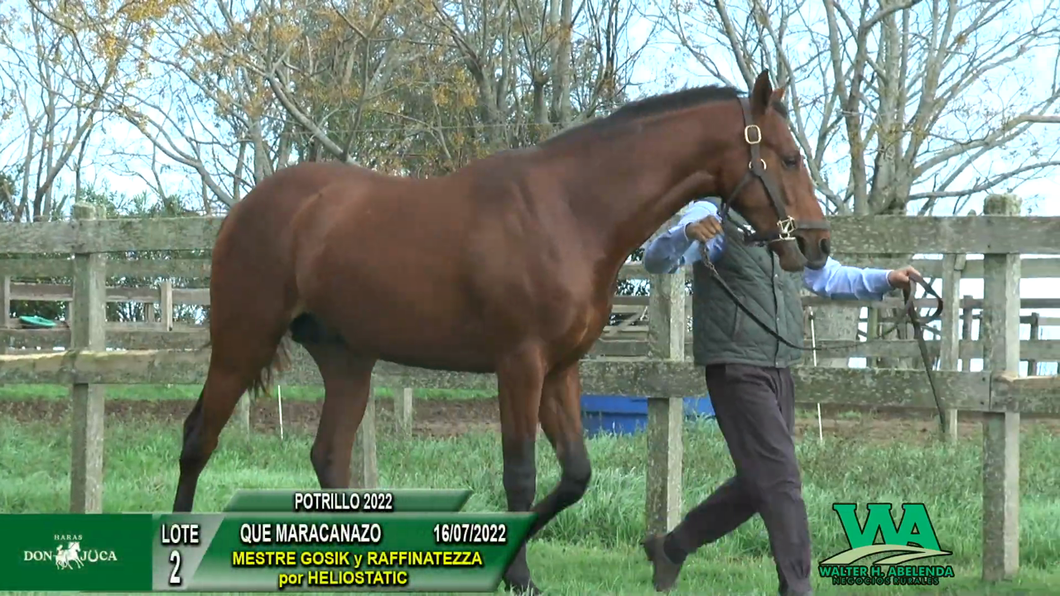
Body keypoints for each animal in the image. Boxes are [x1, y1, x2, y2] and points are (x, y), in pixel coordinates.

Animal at [171, 69, 826, 589]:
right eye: (789, 158)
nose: (816, 245)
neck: (569, 212)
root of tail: (247, 208)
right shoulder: (519, 364)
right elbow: (521, 475)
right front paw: (516, 576)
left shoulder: (561, 370)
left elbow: (575, 476)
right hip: (242, 343)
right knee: (199, 437)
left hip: (348, 361)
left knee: (329, 455)